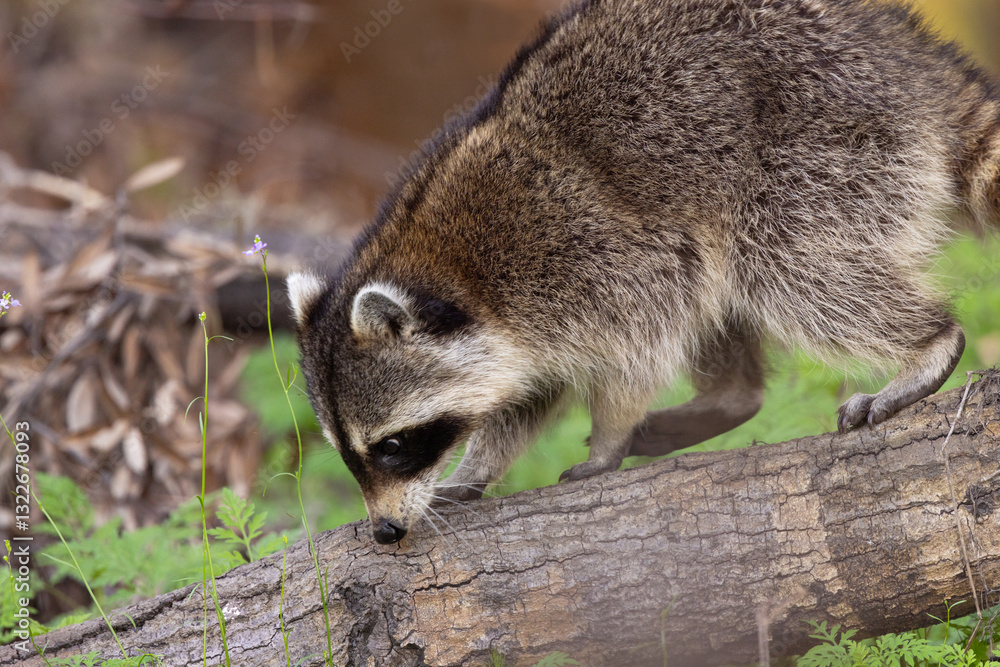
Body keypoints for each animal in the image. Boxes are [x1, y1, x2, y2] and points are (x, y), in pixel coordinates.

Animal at [289, 0, 1000, 544]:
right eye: (352, 454)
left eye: (392, 446)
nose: (384, 531)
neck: (451, 270)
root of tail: (913, 59)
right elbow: (524, 395)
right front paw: (476, 467)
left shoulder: (589, 250)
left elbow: (642, 339)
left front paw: (608, 437)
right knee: (726, 282)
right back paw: (732, 394)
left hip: (819, 141)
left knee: (784, 264)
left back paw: (928, 344)